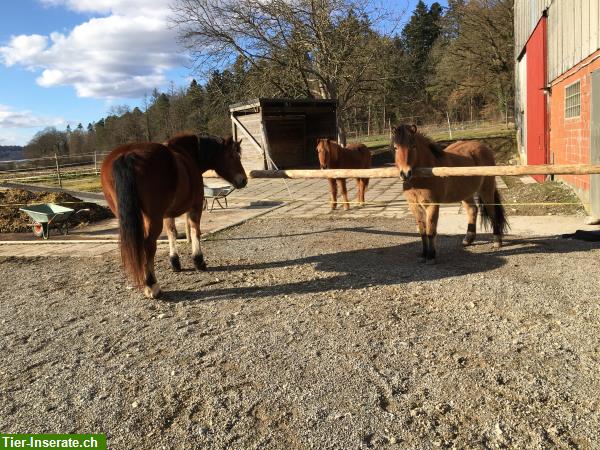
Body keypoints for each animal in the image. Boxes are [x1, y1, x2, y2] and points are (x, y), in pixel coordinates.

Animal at [102, 134, 247, 298]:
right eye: (233, 155)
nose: (243, 180)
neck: (189, 154)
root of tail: (127, 155)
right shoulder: (196, 206)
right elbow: (195, 231)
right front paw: (199, 261)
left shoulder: (167, 214)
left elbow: (172, 233)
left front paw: (175, 262)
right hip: (153, 218)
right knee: (148, 245)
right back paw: (152, 286)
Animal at [392, 123, 508, 264]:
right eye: (395, 147)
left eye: (413, 146)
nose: (405, 174)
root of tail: (484, 147)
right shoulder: (414, 206)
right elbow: (422, 231)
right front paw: (424, 254)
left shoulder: (432, 205)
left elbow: (431, 230)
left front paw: (431, 256)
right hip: (465, 193)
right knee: (472, 210)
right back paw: (468, 239)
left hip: (486, 189)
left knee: (492, 213)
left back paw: (497, 241)